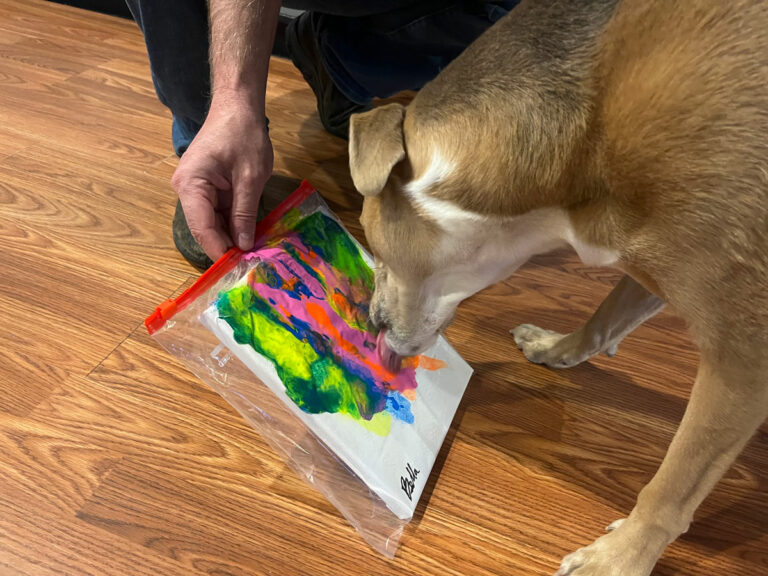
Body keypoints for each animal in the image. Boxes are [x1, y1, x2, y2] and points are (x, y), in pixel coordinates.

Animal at [350, 1, 768, 576]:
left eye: (374, 242)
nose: (370, 321)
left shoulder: (742, 355)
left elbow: (672, 488)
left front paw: (617, 559)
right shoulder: (650, 263)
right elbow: (604, 318)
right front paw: (556, 349)